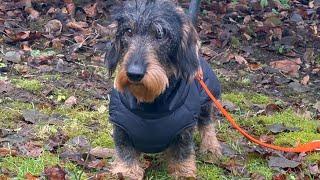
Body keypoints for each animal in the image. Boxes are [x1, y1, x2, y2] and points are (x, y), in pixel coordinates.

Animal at [106, 1, 221, 179]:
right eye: (128, 31)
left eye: (160, 35)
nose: (134, 73)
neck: (150, 106)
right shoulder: (121, 130)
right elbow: (126, 154)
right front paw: (127, 171)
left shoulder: (185, 129)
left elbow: (183, 153)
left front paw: (183, 171)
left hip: (206, 102)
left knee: (207, 124)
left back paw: (210, 147)